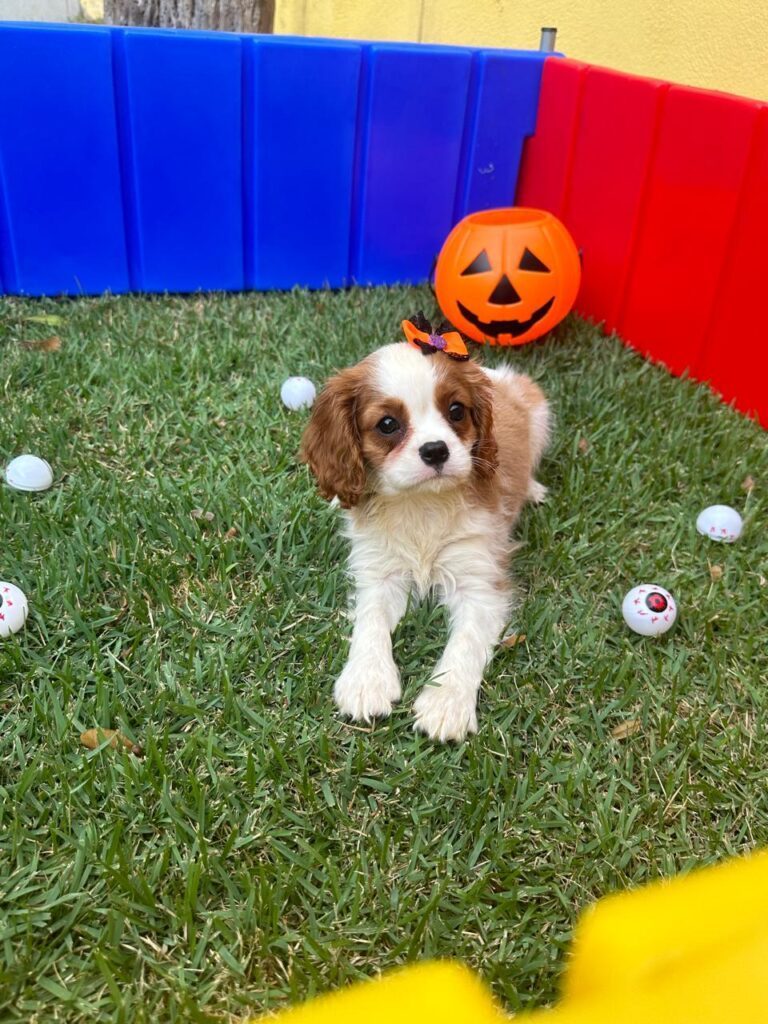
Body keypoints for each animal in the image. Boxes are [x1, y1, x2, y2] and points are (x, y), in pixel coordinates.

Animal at [303, 331, 552, 741]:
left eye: (457, 411)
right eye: (388, 424)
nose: (436, 450)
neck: (422, 504)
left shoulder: (479, 583)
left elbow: (465, 643)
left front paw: (445, 703)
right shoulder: (380, 571)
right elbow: (371, 620)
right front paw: (366, 680)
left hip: (539, 409)